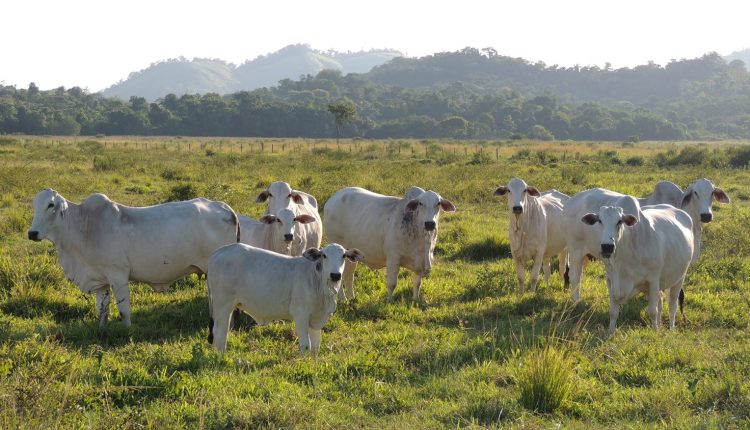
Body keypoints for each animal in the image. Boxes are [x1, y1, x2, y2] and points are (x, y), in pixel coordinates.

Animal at [27, 188, 239, 326]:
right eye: (34, 205)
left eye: (51, 205)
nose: (32, 233)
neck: (85, 226)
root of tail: (226, 208)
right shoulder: (100, 280)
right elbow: (102, 310)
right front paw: (101, 329)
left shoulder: (118, 275)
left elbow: (124, 311)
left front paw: (127, 331)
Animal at [206, 244, 364, 354]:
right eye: (324, 255)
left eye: (344, 255)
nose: (335, 275)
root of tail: (218, 252)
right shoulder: (300, 314)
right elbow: (306, 345)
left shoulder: (317, 318)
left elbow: (315, 346)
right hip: (222, 305)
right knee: (219, 332)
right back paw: (221, 356)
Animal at [324, 186, 458, 302]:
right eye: (420, 203)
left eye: (438, 203)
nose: (430, 223)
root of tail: (333, 199)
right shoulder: (393, 259)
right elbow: (392, 284)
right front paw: (389, 300)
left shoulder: (419, 262)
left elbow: (417, 283)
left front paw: (415, 300)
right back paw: (343, 298)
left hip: (351, 255)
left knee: (349, 275)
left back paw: (351, 297)